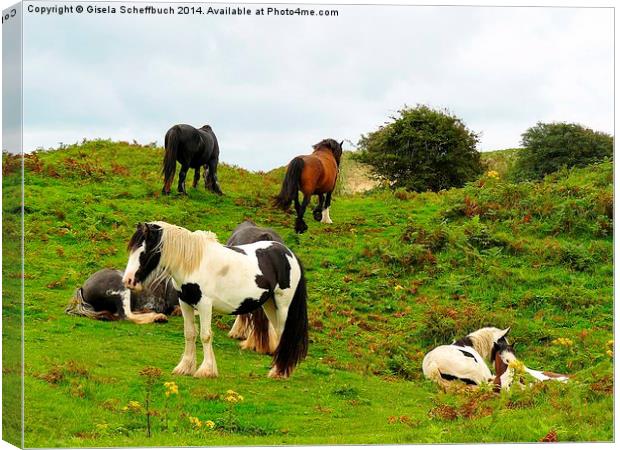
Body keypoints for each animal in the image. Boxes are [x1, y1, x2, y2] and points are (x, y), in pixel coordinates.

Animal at [121, 221, 308, 380]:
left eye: (144, 252)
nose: (128, 280)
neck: (193, 264)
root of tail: (288, 254)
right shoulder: (185, 304)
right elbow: (189, 333)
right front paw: (185, 367)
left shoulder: (204, 305)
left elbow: (205, 335)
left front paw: (206, 370)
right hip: (269, 304)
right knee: (278, 333)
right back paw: (278, 370)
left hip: (283, 306)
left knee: (283, 333)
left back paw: (280, 372)